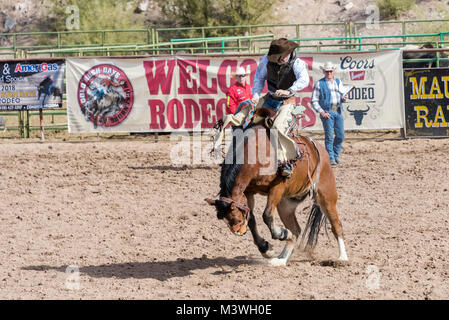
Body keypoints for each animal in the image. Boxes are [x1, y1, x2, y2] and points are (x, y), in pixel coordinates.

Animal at [205, 111, 348, 266]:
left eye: (236, 219)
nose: (239, 232)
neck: (256, 151)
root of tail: (318, 149)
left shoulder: (277, 188)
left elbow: (267, 215)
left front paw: (281, 235)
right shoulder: (248, 192)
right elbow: (252, 218)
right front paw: (266, 249)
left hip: (326, 195)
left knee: (336, 225)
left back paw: (342, 258)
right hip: (286, 204)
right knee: (296, 229)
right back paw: (281, 260)